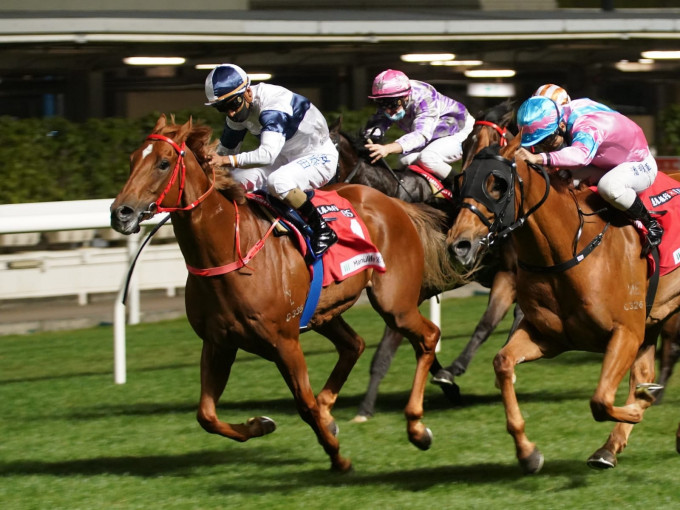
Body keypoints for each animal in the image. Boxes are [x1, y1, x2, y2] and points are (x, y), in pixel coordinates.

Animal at [113, 113, 462, 472]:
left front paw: (338, 457)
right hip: (325, 312)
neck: (230, 251)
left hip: (395, 303)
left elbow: (304, 405)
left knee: (427, 336)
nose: (121, 212)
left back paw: (417, 426)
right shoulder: (218, 342)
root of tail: (393, 203)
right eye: (132, 160)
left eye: (163, 163)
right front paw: (262, 424)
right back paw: (333, 412)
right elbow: (206, 415)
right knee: (354, 345)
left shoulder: (284, 341)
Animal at [446, 136, 680, 474]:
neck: (568, 249)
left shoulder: (626, 332)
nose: (458, 246)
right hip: (653, 321)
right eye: (461, 180)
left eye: (497, 184)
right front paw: (528, 452)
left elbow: (601, 400)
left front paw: (639, 405)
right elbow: (502, 363)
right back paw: (610, 447)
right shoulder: (550, 336)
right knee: (644, 371)